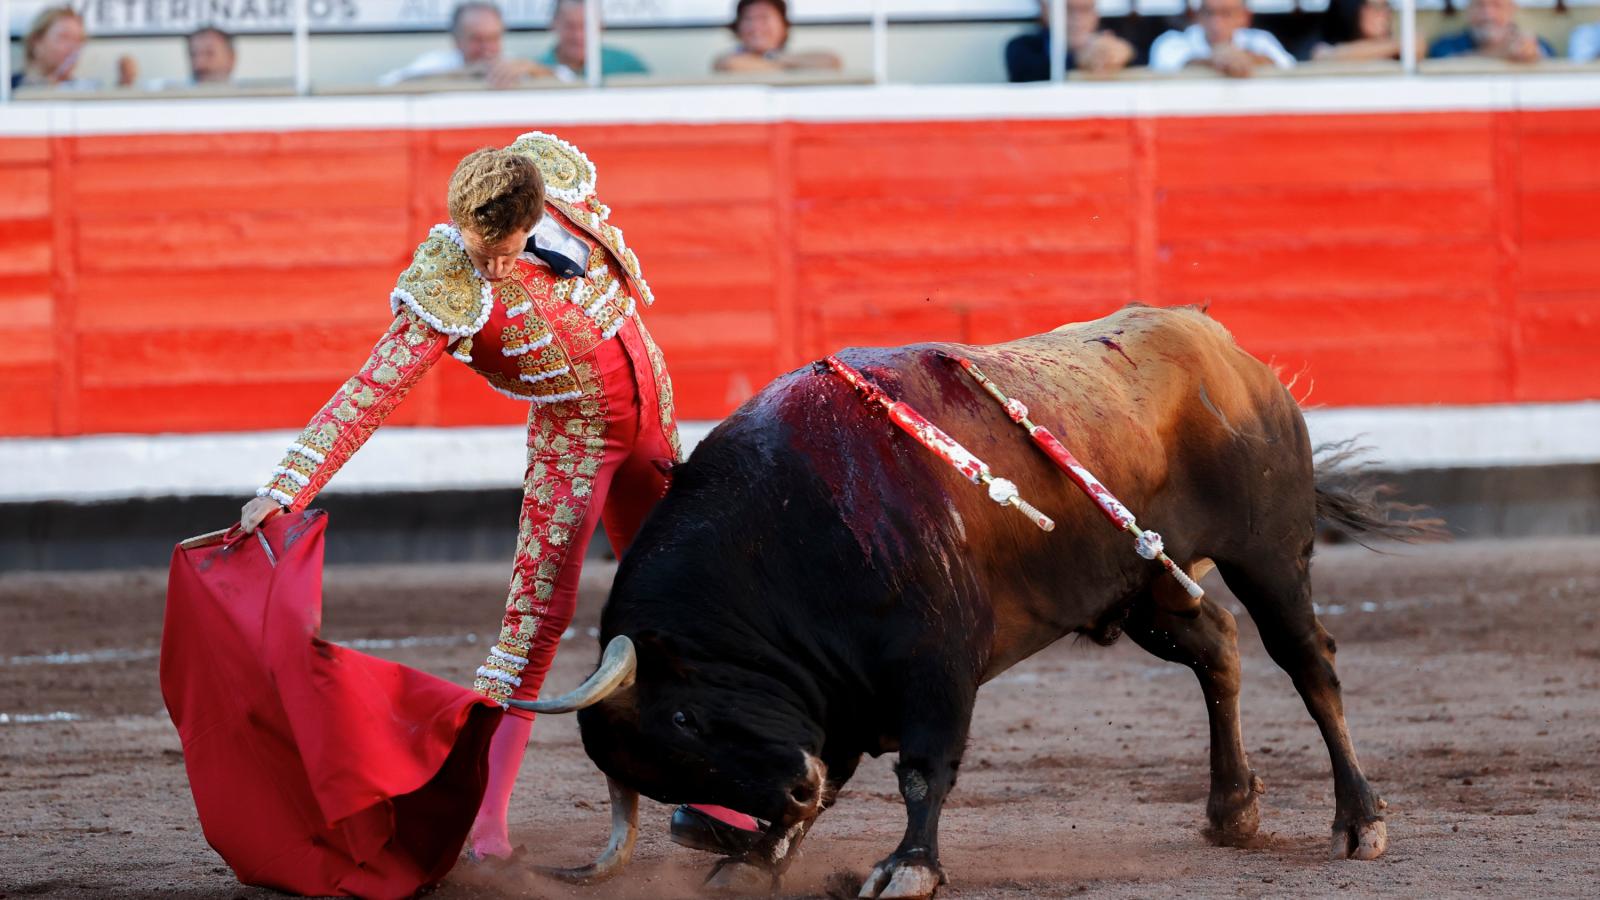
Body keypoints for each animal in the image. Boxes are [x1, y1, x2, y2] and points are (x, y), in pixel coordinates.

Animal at [521, 304, 1427, 890]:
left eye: (682, 716)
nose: (793, 792)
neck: (790, 526)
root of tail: (1226, 348)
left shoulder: (935, 662)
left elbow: (926, 768)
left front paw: (907, 868)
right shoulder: (832, 692)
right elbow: (842, 770)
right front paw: (754, 859)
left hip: (1268, 554)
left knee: (1308, 664)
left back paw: (1359, 820)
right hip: (1146, 586)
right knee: (1217, 648)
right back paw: (1232, 808)